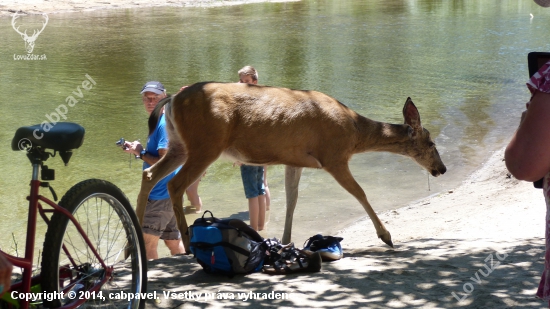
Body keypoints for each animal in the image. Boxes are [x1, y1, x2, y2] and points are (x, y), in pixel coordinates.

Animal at [135, 82, 448, 250]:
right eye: (431, 142)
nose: (442, 169)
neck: (354, 133)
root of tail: (173, 99)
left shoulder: (294, 160)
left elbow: (292, 200)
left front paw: (285, 242)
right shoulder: (333, 156)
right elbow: (360, 192)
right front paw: (386, 236)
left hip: (179, 145)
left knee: (150, 174)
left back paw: (132, 243)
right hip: (206, 144)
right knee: (174, 184)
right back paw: (187, 244)